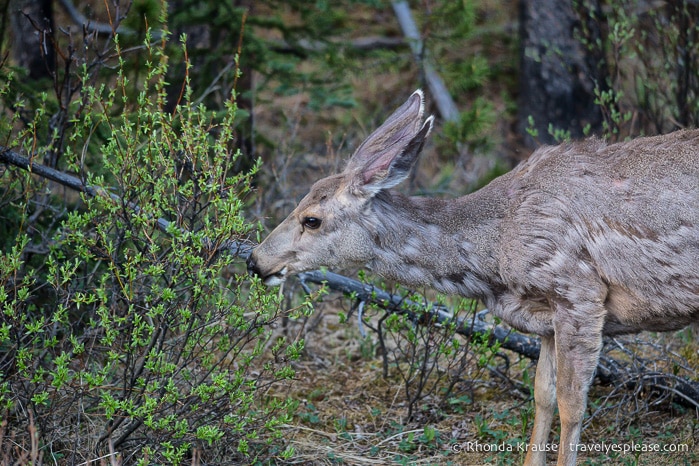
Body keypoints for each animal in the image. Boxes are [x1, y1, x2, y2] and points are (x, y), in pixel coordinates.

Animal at [247, 89, 699, 464]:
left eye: (311, 219)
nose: (255, 261)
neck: (494, 255)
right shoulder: (546, 318)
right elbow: (542, 395)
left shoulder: (578, 292)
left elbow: (572, 405)